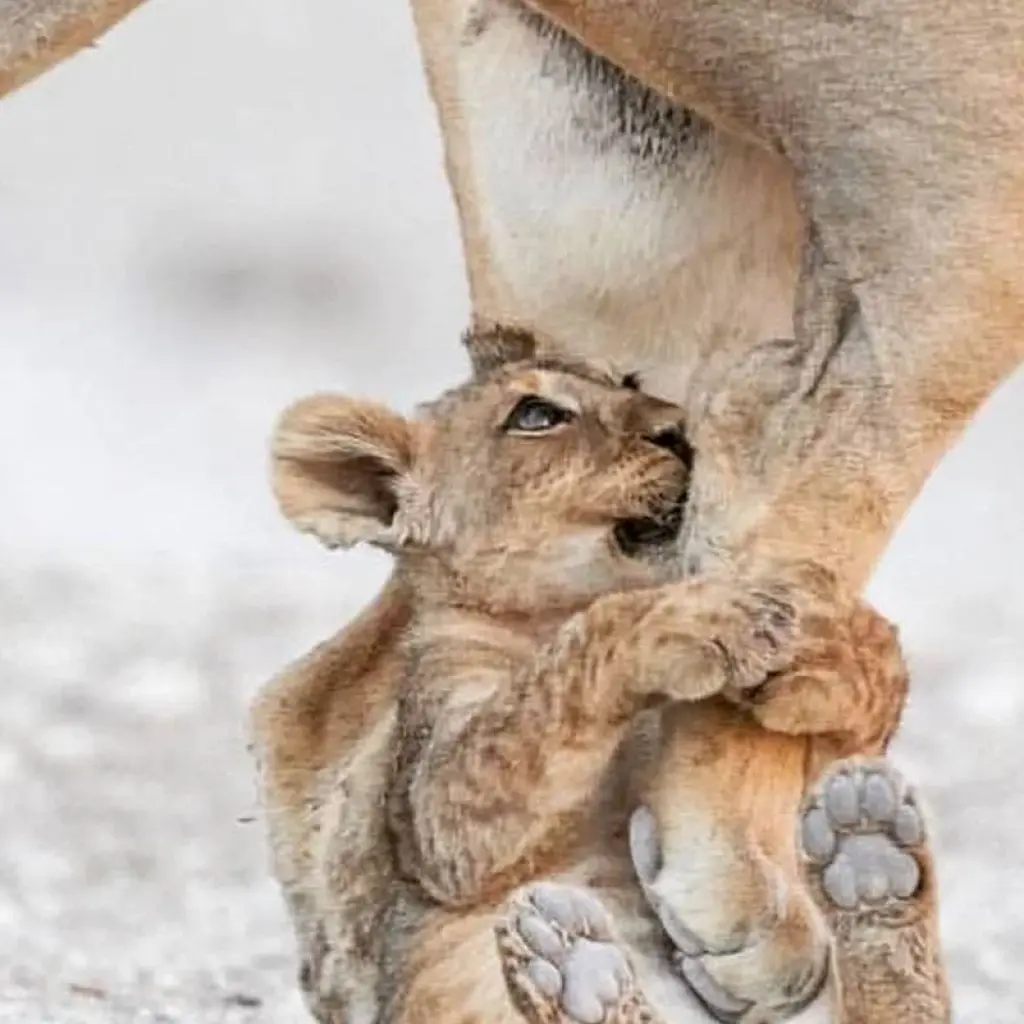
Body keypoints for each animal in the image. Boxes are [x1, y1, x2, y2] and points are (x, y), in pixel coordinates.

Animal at [250, 327, 949, 1024]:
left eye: (630, 383)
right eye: (536, 415)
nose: (678, 429)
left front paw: (829, 645)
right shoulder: (432, 809)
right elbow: (564, 670)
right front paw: (700, 619)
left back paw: (869, 847)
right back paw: (574, 970)